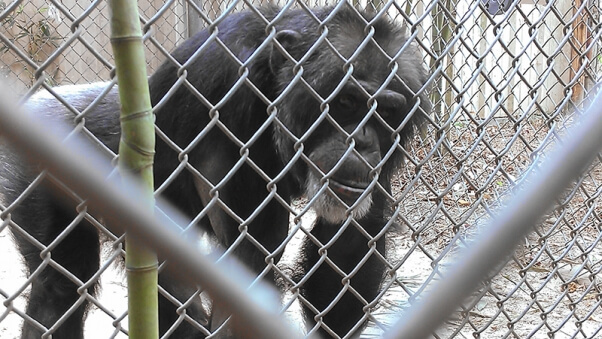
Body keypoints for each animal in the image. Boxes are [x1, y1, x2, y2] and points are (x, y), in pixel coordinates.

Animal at [2, 3, 428, 339]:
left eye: (386, 111)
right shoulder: (228, 92)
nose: (363, 141)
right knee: (60, 287)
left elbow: (348, 250)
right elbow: (247, 264)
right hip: (32, 172)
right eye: (348, 101)